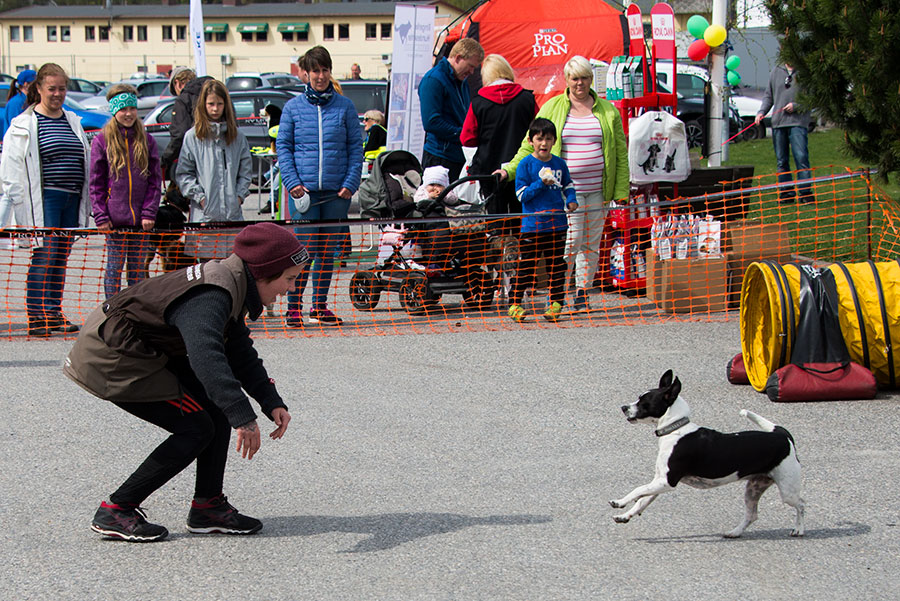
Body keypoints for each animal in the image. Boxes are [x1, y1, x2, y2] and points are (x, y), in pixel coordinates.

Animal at [608, 368, 804, 536]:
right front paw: (625, 515)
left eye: (644, 402)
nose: (623, 407)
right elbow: (642, 498)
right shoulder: (659, 481)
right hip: (754, 488)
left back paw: (798, 529)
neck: (676, 429)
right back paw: (734, 533)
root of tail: (782, 435)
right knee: (752, 515)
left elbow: (638, 490)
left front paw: (620, 502)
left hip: (787, 491)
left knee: (801, 504)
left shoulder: (667, 481)